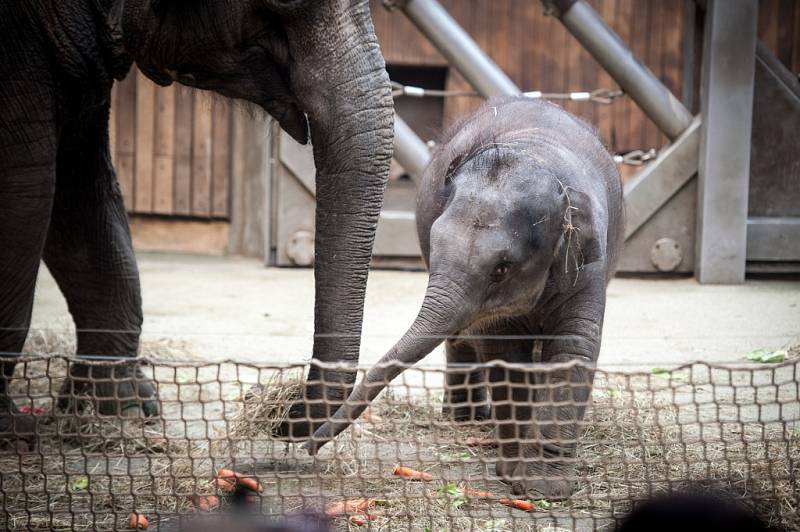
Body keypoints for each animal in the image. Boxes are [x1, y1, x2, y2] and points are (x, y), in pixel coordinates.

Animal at [0, 0, 394, 440]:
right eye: (285, 4)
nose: (279, 411)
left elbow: (81, 180)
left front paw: (125, 410)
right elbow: (29, 184)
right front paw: (16, 432)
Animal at [306, 97, 624, 500]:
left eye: (502, 268)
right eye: (436, 247)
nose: (306, 447)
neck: (536, 154)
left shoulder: (588, 268)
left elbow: (573, 350)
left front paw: (544, 490)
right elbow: (504, 355)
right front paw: (513, 475)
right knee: (462, 339)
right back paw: (465, 418)